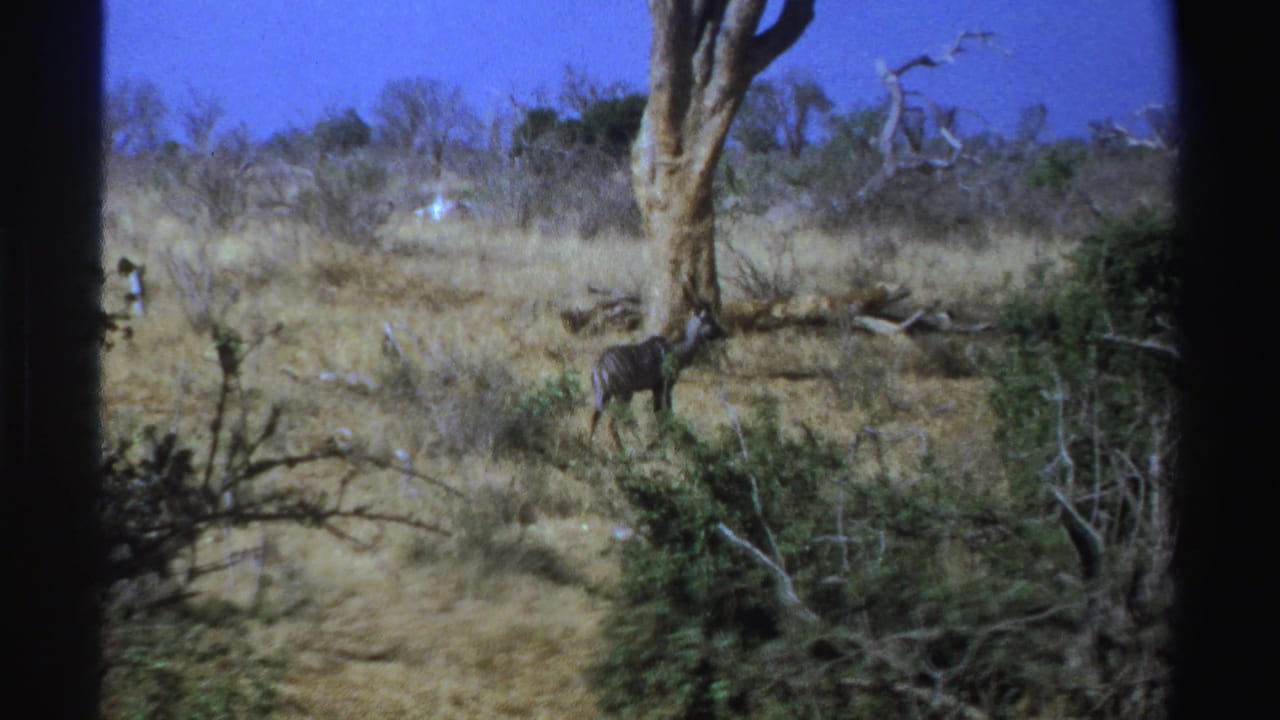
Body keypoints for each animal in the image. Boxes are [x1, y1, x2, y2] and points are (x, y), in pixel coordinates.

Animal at [589, 307, 727, 450]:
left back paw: (591, 446)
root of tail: (599, 368)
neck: (677, 352)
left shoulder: (655, 388)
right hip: (623, 394)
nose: (724, 333)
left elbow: (657, 411)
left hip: (603, 395)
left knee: (594, 418)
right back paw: (621, 448)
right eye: (710, 321)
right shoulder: (665, 384)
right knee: (612, 421)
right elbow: (666, 411)